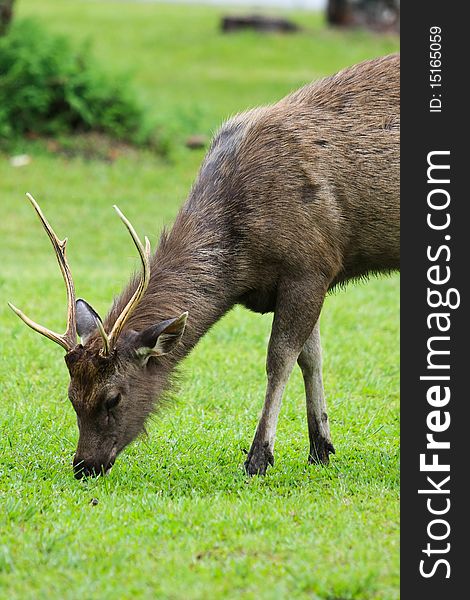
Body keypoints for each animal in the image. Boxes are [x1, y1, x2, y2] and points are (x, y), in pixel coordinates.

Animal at [10, 54, 400, 480]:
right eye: (70, 396)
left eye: (113, 398)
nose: (84, 465)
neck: (244, 262)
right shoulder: (300, 279)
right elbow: (310, 357)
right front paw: (321, 448)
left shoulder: (311, 264)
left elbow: (280, 359)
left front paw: (259, 457)